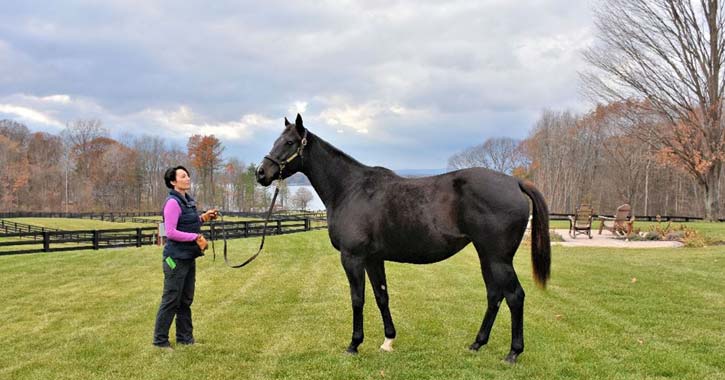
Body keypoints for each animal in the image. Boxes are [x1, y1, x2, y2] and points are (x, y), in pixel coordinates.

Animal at [255, 114, 548, 364]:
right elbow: (381, 296)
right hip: (486, 255)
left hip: (498, 258)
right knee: (494, 295)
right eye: (276, 140)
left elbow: (357, 298)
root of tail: (515, 183)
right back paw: (477, 343)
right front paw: (388, 341)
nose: (261, 172)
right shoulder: (373, 259)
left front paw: (354, 344)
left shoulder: (353, 257)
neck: (350, 190)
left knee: (515, 296)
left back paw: (513, 353)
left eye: (289, 142)